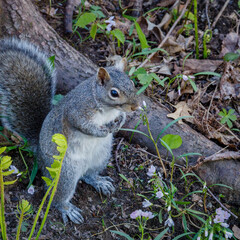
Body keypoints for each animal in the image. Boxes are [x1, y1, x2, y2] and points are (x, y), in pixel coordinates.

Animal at [0, 37, 140, 223]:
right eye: (114, 93)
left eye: (131, 82)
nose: (135, 106)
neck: (106, 107)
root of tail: (40, 154)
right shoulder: (76, 111)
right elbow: (83, 125)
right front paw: (101, 132)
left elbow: (121, 117)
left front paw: (119, 123)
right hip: (64, 173)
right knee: (56, 196)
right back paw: (67, 209)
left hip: (101, 157)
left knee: (89, 175)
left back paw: (99, 182)